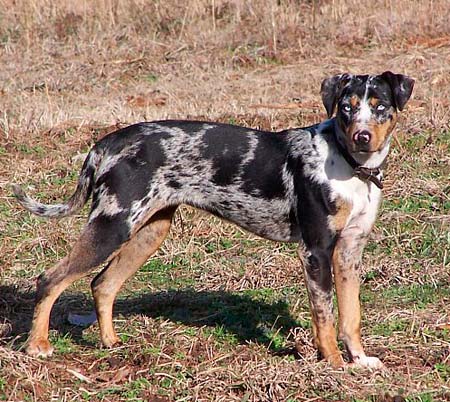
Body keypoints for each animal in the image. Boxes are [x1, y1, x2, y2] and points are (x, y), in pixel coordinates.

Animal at [12, 71, 414, 368]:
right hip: (112, 227)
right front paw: (331, 365)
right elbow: (325, 316)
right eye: (346, 108)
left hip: (149, 232)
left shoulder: (349, 251)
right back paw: (37, 347)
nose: (362, 136)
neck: (350, 166)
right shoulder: (315, 250)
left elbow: (350, 316)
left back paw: (112, 344)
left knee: (102, 284)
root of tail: (103, 145)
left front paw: (359, 361)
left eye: (379, 107)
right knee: (50, 279)